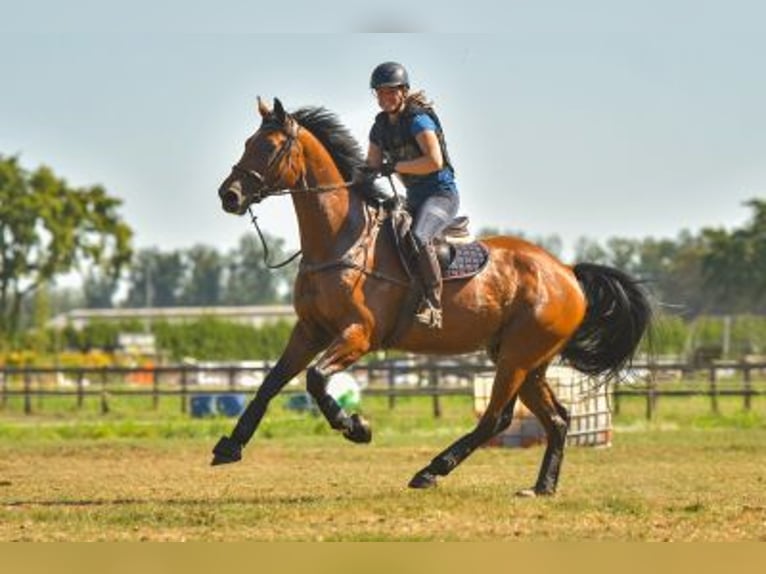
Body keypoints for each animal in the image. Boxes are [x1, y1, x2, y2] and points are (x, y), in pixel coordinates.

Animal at [212, 97, 652, 496]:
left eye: (270, 147)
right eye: (248, 141)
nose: (228, 196)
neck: (341, 239)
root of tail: (568, 273)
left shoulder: (358, 335)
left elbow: (317, 379)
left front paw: (356, 427)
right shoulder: (310, 330)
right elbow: (270, 383)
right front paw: (230, 446)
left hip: (517, 357)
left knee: (496, 418)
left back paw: (431, 471)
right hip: (529, 361)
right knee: (556, 419)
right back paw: (541, 486)